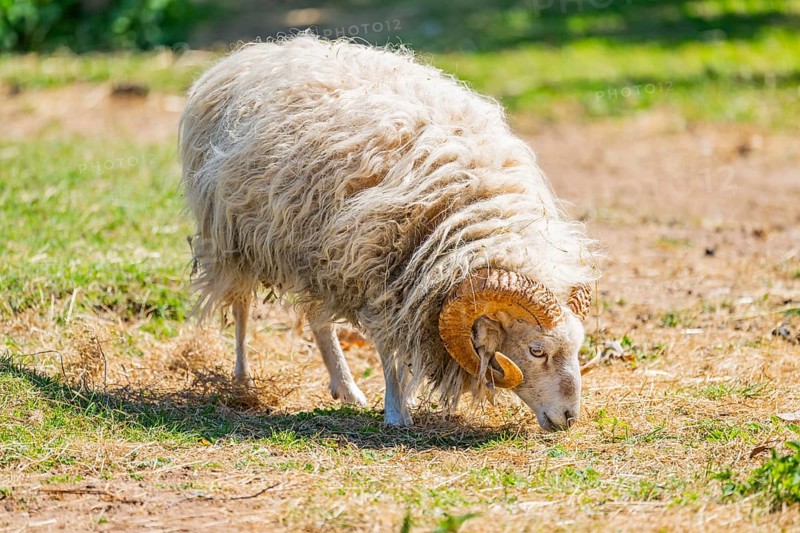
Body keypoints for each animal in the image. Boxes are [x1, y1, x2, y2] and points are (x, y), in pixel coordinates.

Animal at [179, 33, 600, 431]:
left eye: (577, 346)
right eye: (536, 350)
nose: (568, 418)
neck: (479, 210)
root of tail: (252, 53)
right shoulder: (379, 269)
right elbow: (386, 346)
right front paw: (397, 411)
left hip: (313, 246)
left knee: (317, 317)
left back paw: (346, 387)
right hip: (233, 234)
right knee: (241, 304)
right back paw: (243, 380)